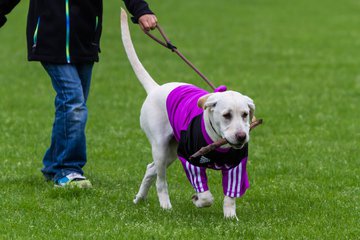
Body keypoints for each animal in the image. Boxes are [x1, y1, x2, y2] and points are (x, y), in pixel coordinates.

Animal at [121, 9, 256, 219]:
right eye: (226, 115)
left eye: (245, 114)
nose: (241, 136)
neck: (218, 142)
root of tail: (155, 88)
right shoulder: (190, 160)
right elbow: (206, 195)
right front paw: (198, 200)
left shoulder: (237, 166)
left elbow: (230, 196)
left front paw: (230, 217)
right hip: (161, 148)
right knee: (160, 181)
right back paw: (165, 206)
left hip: (171, 151)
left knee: (150, 169)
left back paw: (139, 198)